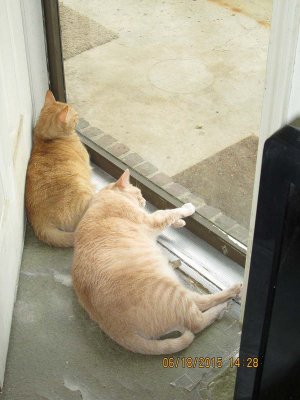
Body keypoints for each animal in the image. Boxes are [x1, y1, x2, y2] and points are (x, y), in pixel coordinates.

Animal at [72, 170, 244, 354]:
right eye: (139, 193)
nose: (144, 200)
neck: (105, 198)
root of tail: (115, 328)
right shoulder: (152, 220)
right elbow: (169, 212)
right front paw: (186, 210)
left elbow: (170, 216)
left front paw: (180, 222)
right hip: (172, 293)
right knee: (197, 320)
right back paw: (225, 303)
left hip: (176, 288)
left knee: (199, 303)